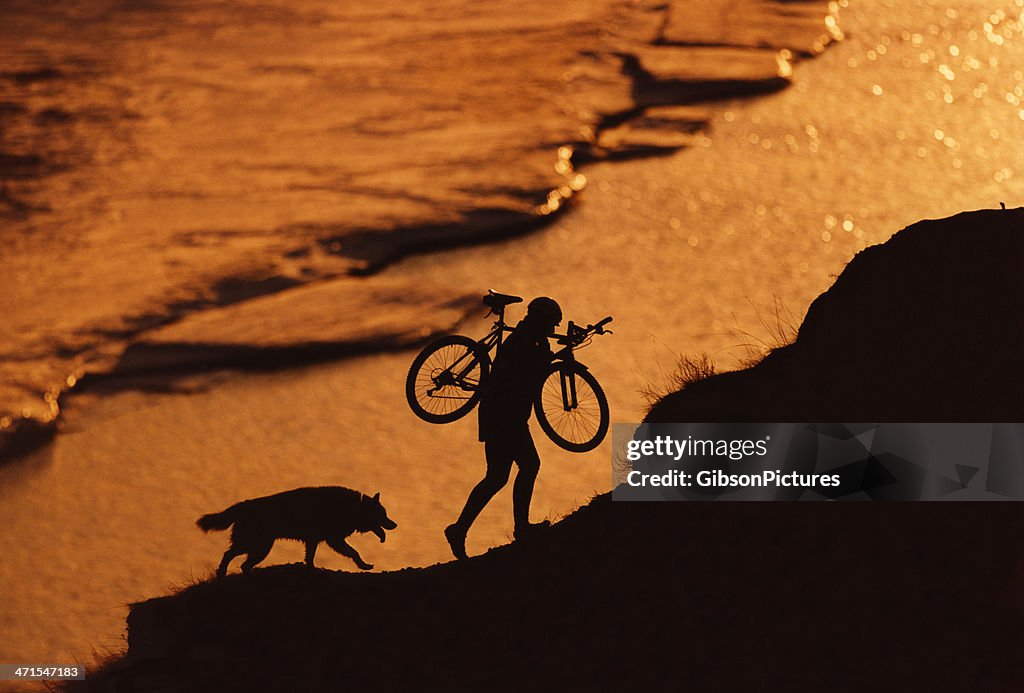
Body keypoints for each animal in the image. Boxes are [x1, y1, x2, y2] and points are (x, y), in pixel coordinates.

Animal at [197, 483, 397, 577]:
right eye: (383, 515)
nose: (395, 524)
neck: (352, 508)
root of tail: (242, 505)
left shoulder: (314, 540)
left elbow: (310, 558)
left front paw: (311, 570)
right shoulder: (334, 540)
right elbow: (354, 552)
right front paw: (364, 565)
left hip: (258, 547)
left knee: (241, 562)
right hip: (257, 546)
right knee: (231, 556)